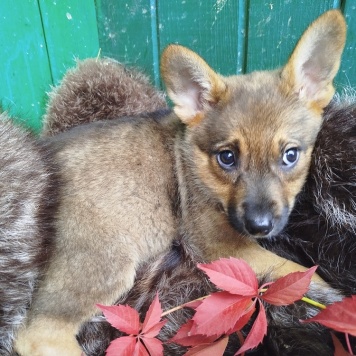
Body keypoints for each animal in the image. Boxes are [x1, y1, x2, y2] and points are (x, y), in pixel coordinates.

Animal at [15, 9, 346, 354]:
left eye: (290, 155)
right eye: (227, 157)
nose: (259, 226)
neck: (196, 165)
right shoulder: (220, 244)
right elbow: (304, 274)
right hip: (105, 261)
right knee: (37, 333)